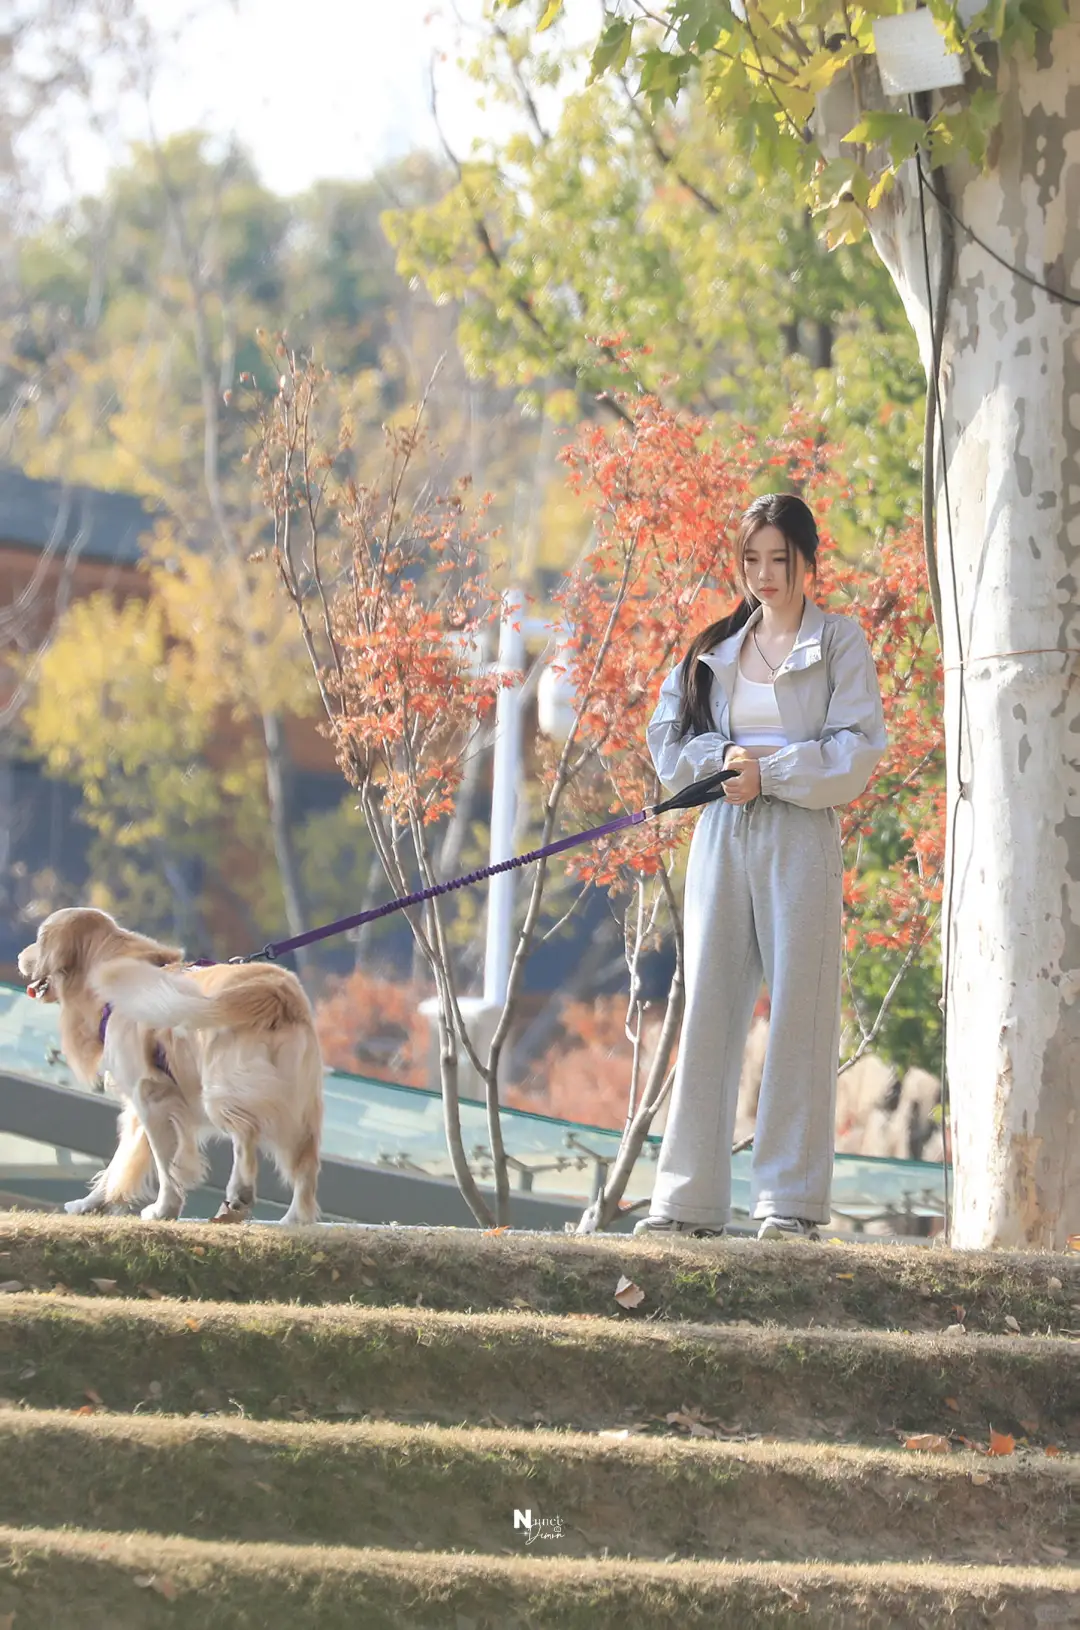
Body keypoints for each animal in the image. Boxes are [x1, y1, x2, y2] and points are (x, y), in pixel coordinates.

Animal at [17, 906, 320, 1225]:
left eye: (39, 939)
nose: (19, 955)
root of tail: (274, 991)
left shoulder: (151, 1096)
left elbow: (166, 1164)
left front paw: (164, 1209)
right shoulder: (139, 1108)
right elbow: (121, 1162)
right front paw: (91, 1204)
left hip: (222, 1087)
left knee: (246, 1131)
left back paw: (240, 1195)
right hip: (298, 1101)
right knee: (305, 1158)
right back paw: (295, 1218)